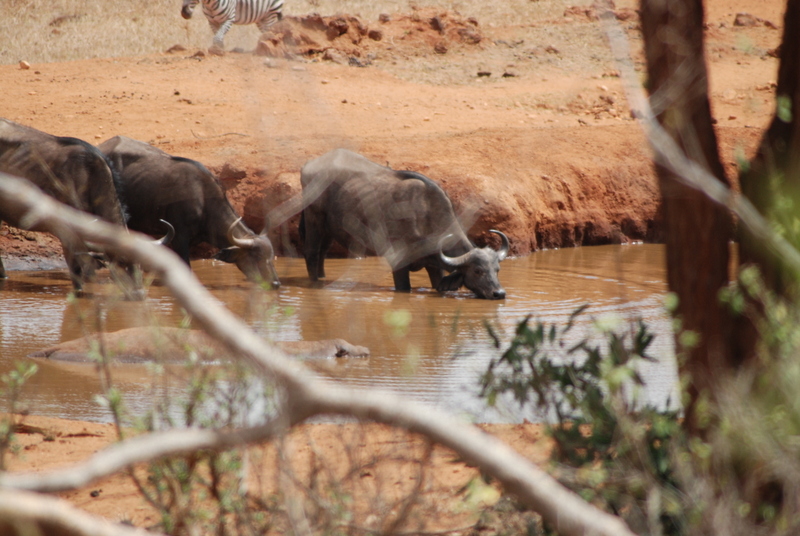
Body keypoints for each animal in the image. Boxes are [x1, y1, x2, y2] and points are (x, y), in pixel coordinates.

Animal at [0, 118, 142, 298]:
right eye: (122, 262)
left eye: (140, 265)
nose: (140, 294)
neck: (89, 177)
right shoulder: (66, 233)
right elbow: (83, 272)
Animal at [296, 149, 510, 300]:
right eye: (477, 271)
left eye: (497, 270)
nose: (499, 294)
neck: (425, 217)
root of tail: (308, 165)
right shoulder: (398, 264)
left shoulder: (434, 265)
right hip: (313, 219)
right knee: (312, 253)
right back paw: (314, 283)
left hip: (329, 229)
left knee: (322, 253)